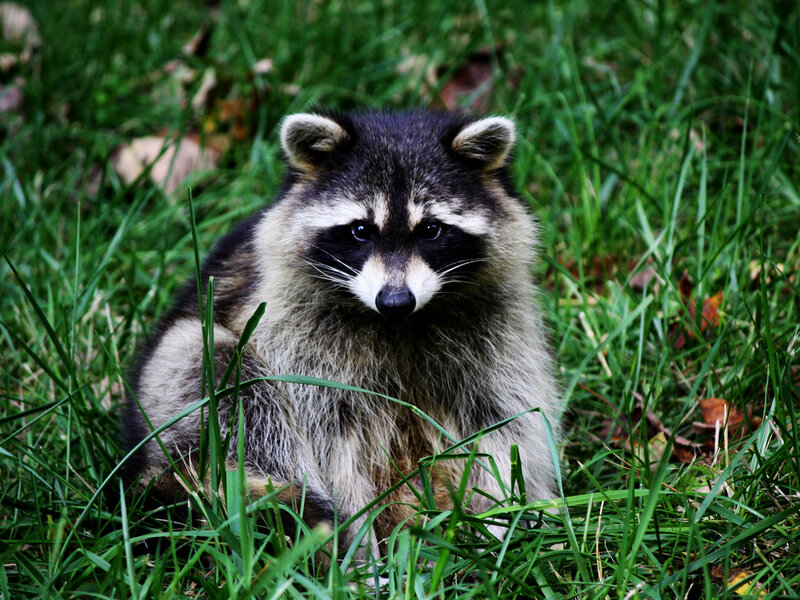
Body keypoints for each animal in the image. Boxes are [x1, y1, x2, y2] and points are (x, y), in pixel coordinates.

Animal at [124, 110, 562, 548]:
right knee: (229, 377)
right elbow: (329, 443)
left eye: (431, 230)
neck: (401, 323)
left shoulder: (498, 332)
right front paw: (357, 545)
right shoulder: (299, 338)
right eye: (361, 231)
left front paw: (505, 520)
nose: (395, 300)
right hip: (173, 383)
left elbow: (506, 425)